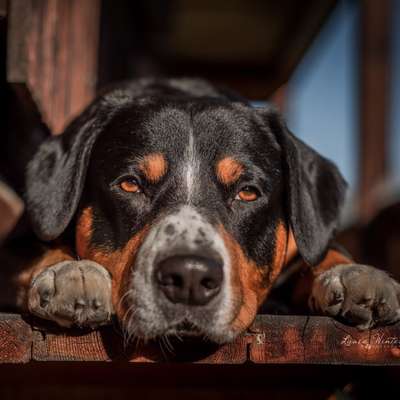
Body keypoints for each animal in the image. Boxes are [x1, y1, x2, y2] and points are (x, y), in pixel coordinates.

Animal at [1, 79, 398, 344]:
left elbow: (323, 251)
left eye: (247, 192)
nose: (190, 276)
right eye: (130, 185)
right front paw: (71, 271)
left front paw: (355, 275)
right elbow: (39, 248)